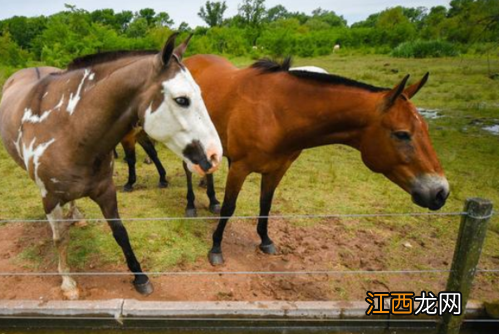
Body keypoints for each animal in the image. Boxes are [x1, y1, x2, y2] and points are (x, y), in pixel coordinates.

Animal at [0, 34, 223, 300]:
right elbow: (60, 239)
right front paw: (68, 283)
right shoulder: (50, 198)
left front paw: (140, 277)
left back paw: (77, 216)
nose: (215, 154)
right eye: (182, 100)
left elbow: (120, 232)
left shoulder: (106, 191)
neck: (69, 129)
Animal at [184, 54, 450, 266]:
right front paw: (216, 247)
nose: (440, 192)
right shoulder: (240, 167)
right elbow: (230, 208)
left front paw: (265, 240)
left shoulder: (277, 169)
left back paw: (212, 200)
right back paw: (190, 205)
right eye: (402, 134)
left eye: (425, 128)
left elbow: (265, 205)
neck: (275, 111)